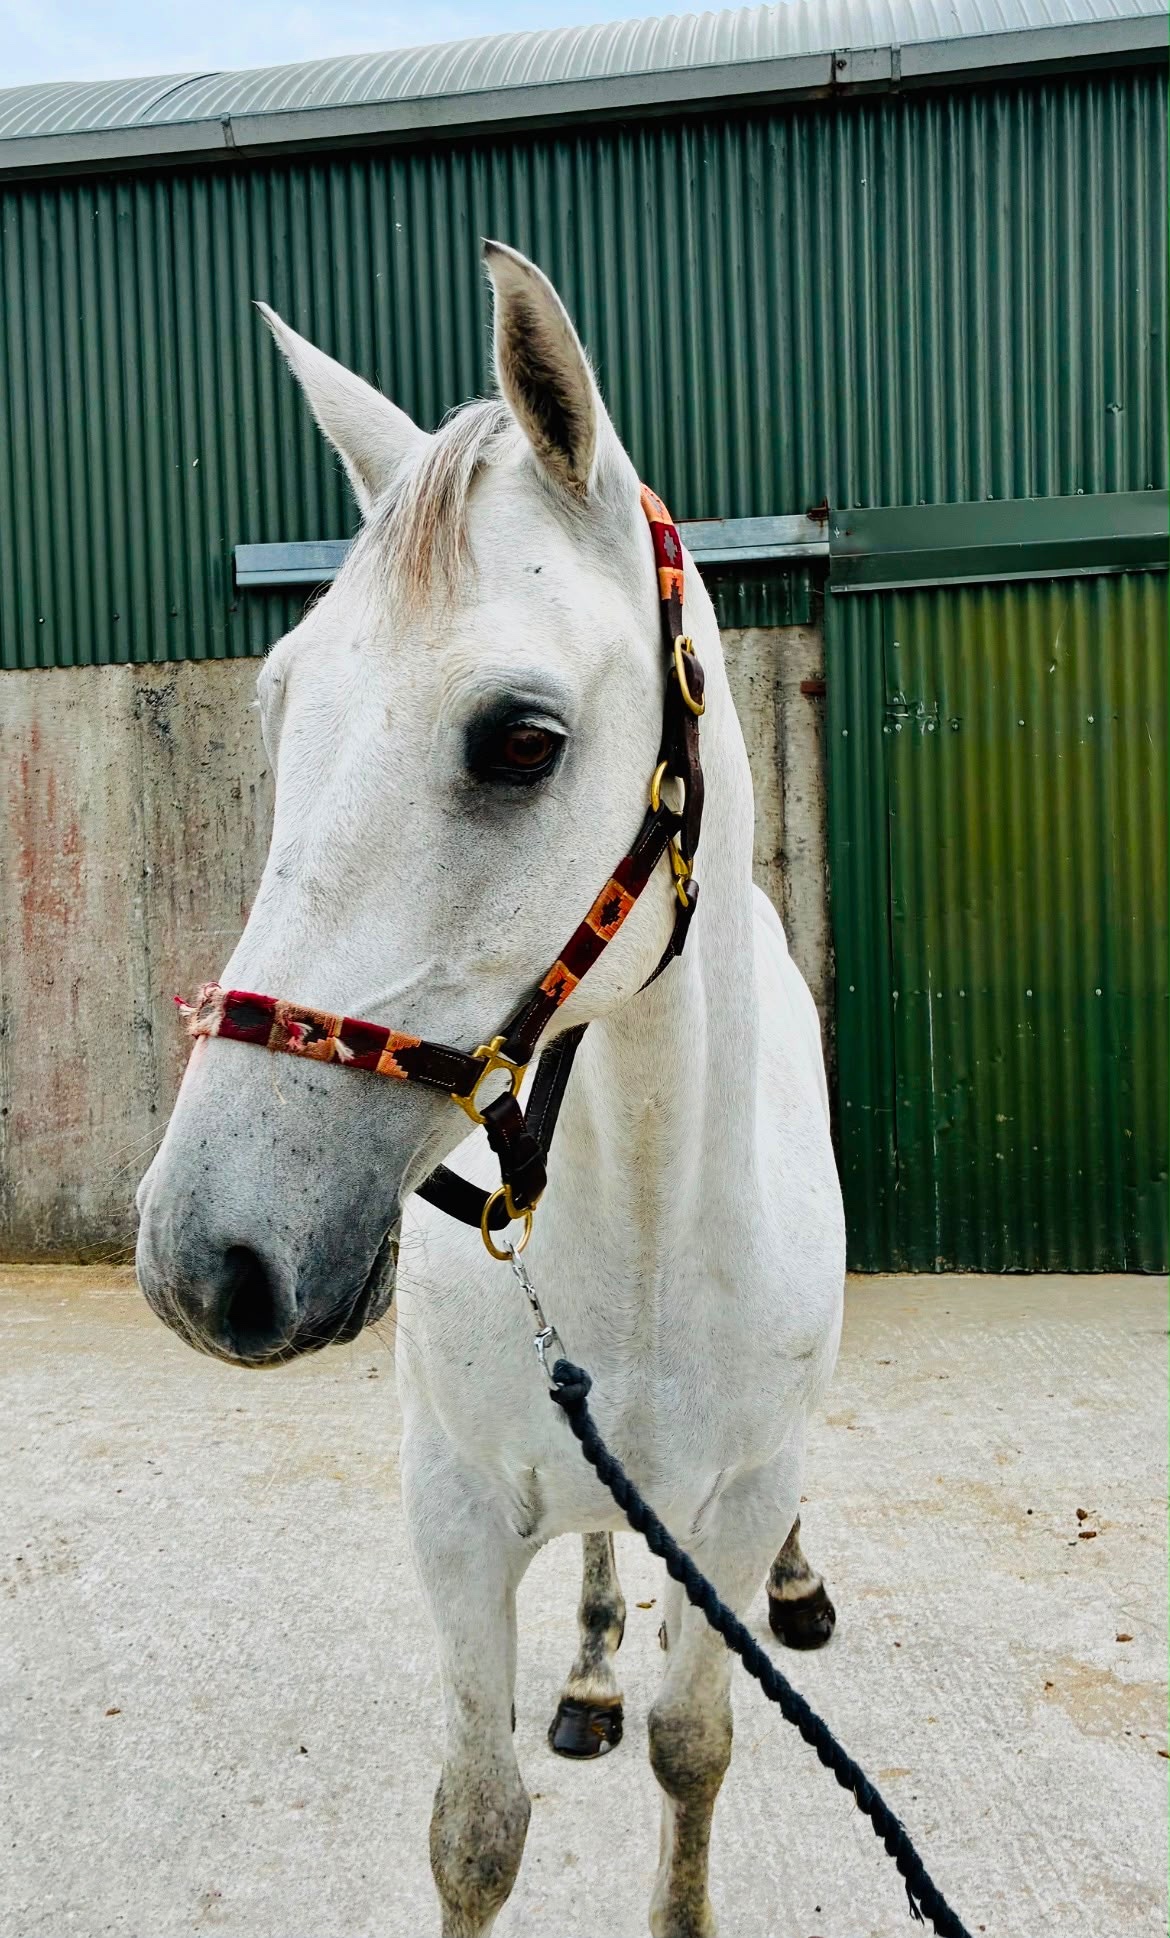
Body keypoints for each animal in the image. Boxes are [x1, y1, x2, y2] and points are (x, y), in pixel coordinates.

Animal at [136, 240, 846, 1938]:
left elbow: (694, 1749)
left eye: (520, 740)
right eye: (281, 706)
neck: (645, 1226)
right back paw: (582, 1669)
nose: (207, 1260)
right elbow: (475, 1823)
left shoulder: (731, 1502)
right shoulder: (453, 1513)